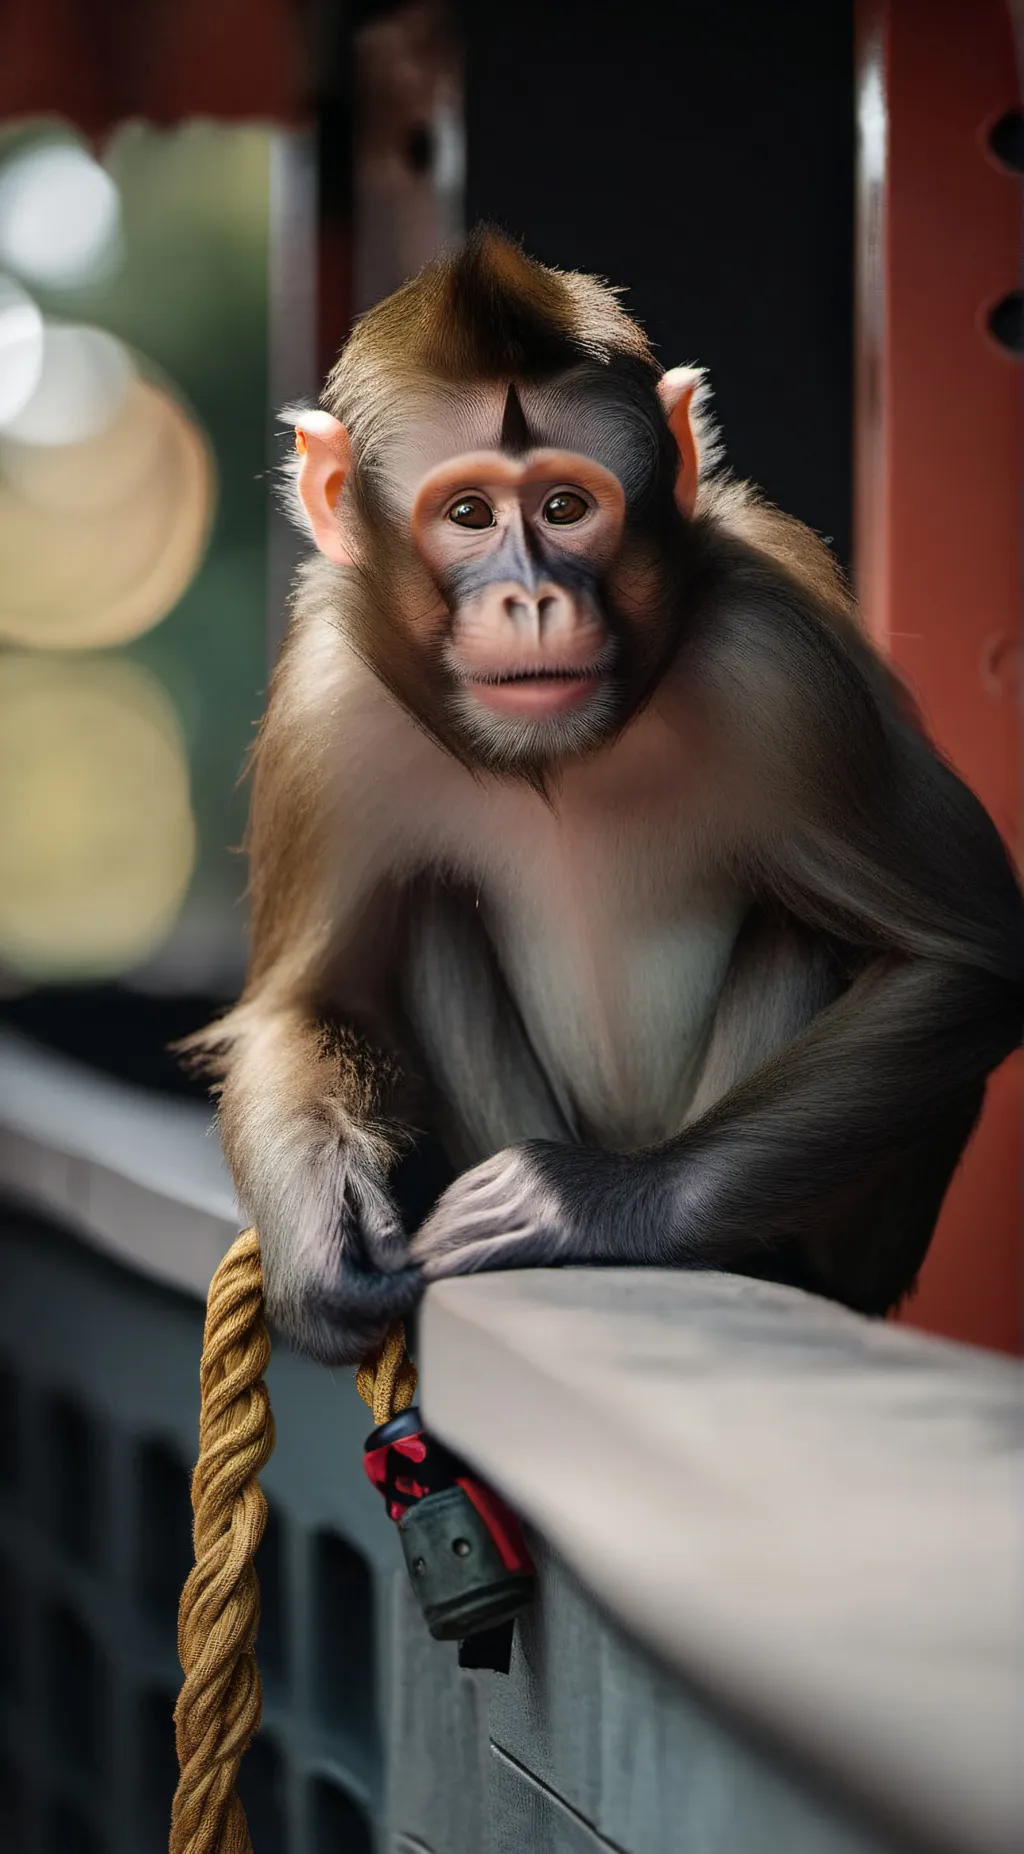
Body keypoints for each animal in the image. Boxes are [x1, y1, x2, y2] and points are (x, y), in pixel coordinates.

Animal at [186, 228, 1024, 1366]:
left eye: (565, 508)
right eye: (467, 514)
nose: (533, 598)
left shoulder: (783, 672)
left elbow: (970, 960)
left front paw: (595, 1203)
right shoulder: (327, 706)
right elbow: (307, 1001)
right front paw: (321, 1229)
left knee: (805, 926)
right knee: (433, 907)